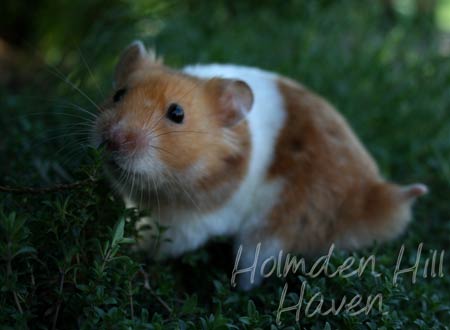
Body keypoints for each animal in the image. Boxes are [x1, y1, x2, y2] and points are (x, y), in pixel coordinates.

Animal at [92, 40, 428, 288]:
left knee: (253, 272)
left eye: (177, 113)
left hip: (270, 234)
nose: (114, 139)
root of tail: (366, 196)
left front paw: (131, 252)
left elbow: (158, 243)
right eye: (118, 94)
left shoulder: (190, 223)